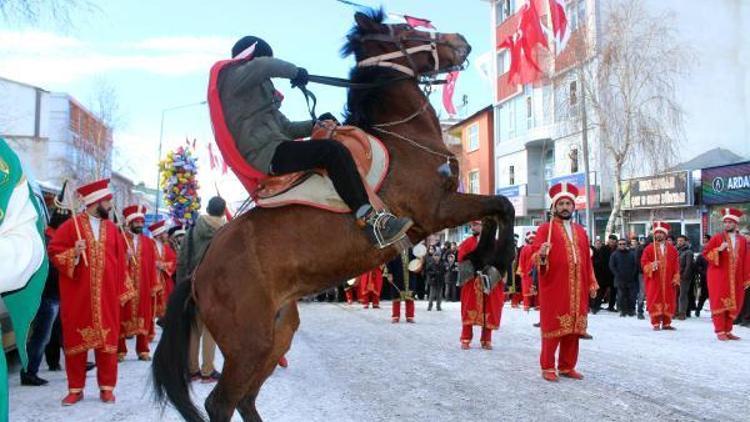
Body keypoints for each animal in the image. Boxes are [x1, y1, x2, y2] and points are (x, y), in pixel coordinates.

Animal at [153, 9, 516, 422]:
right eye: (406, 30)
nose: (459, 41)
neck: (403, 136)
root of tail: (198, 273)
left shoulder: (446, 205)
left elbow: (492, 215)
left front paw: (479, 262)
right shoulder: (436, 208)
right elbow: (502, 206)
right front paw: (495, 263)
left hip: (278, 332)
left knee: (246, 398)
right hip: (250, 342)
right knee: (221, 402)